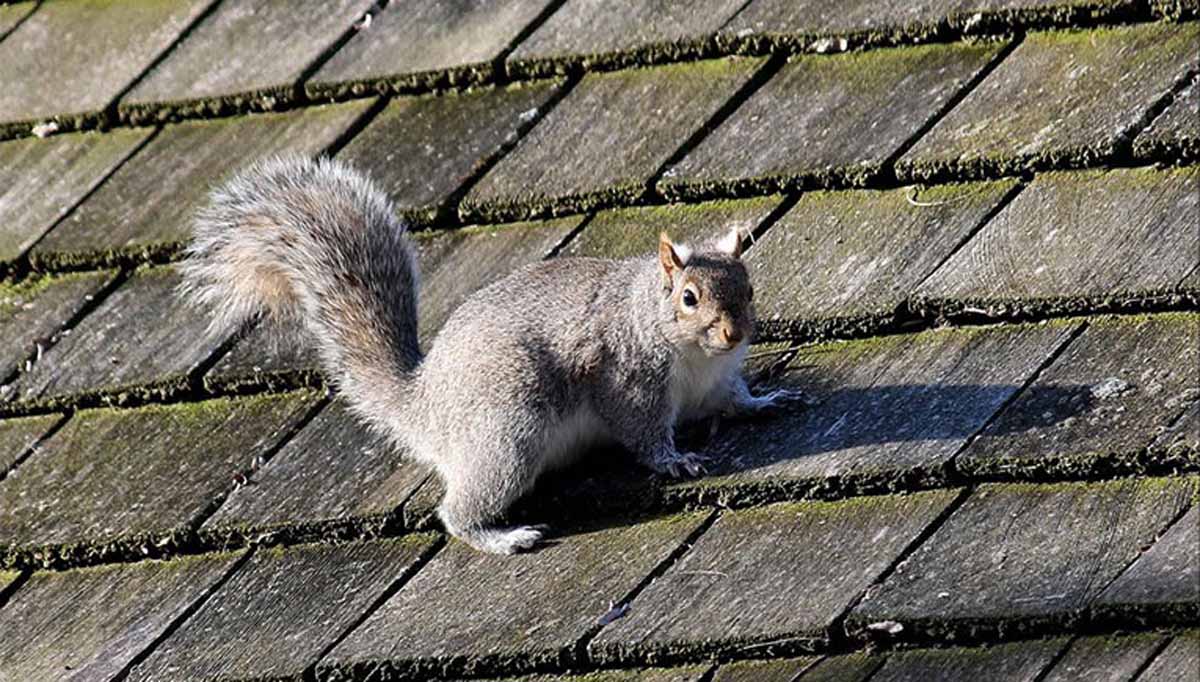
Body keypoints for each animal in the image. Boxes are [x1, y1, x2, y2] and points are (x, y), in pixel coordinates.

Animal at [182, 154, 801, 554]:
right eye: (689, 297)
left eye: (748, 288)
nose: (734, 334)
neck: (692, 353)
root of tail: (424, 407)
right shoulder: (627, 379)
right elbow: (641, 431)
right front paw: (675, 460)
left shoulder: (717, 379)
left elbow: (734, 397)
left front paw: (765, 400)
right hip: (509, 430)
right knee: (455, 512)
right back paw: (501, 537)